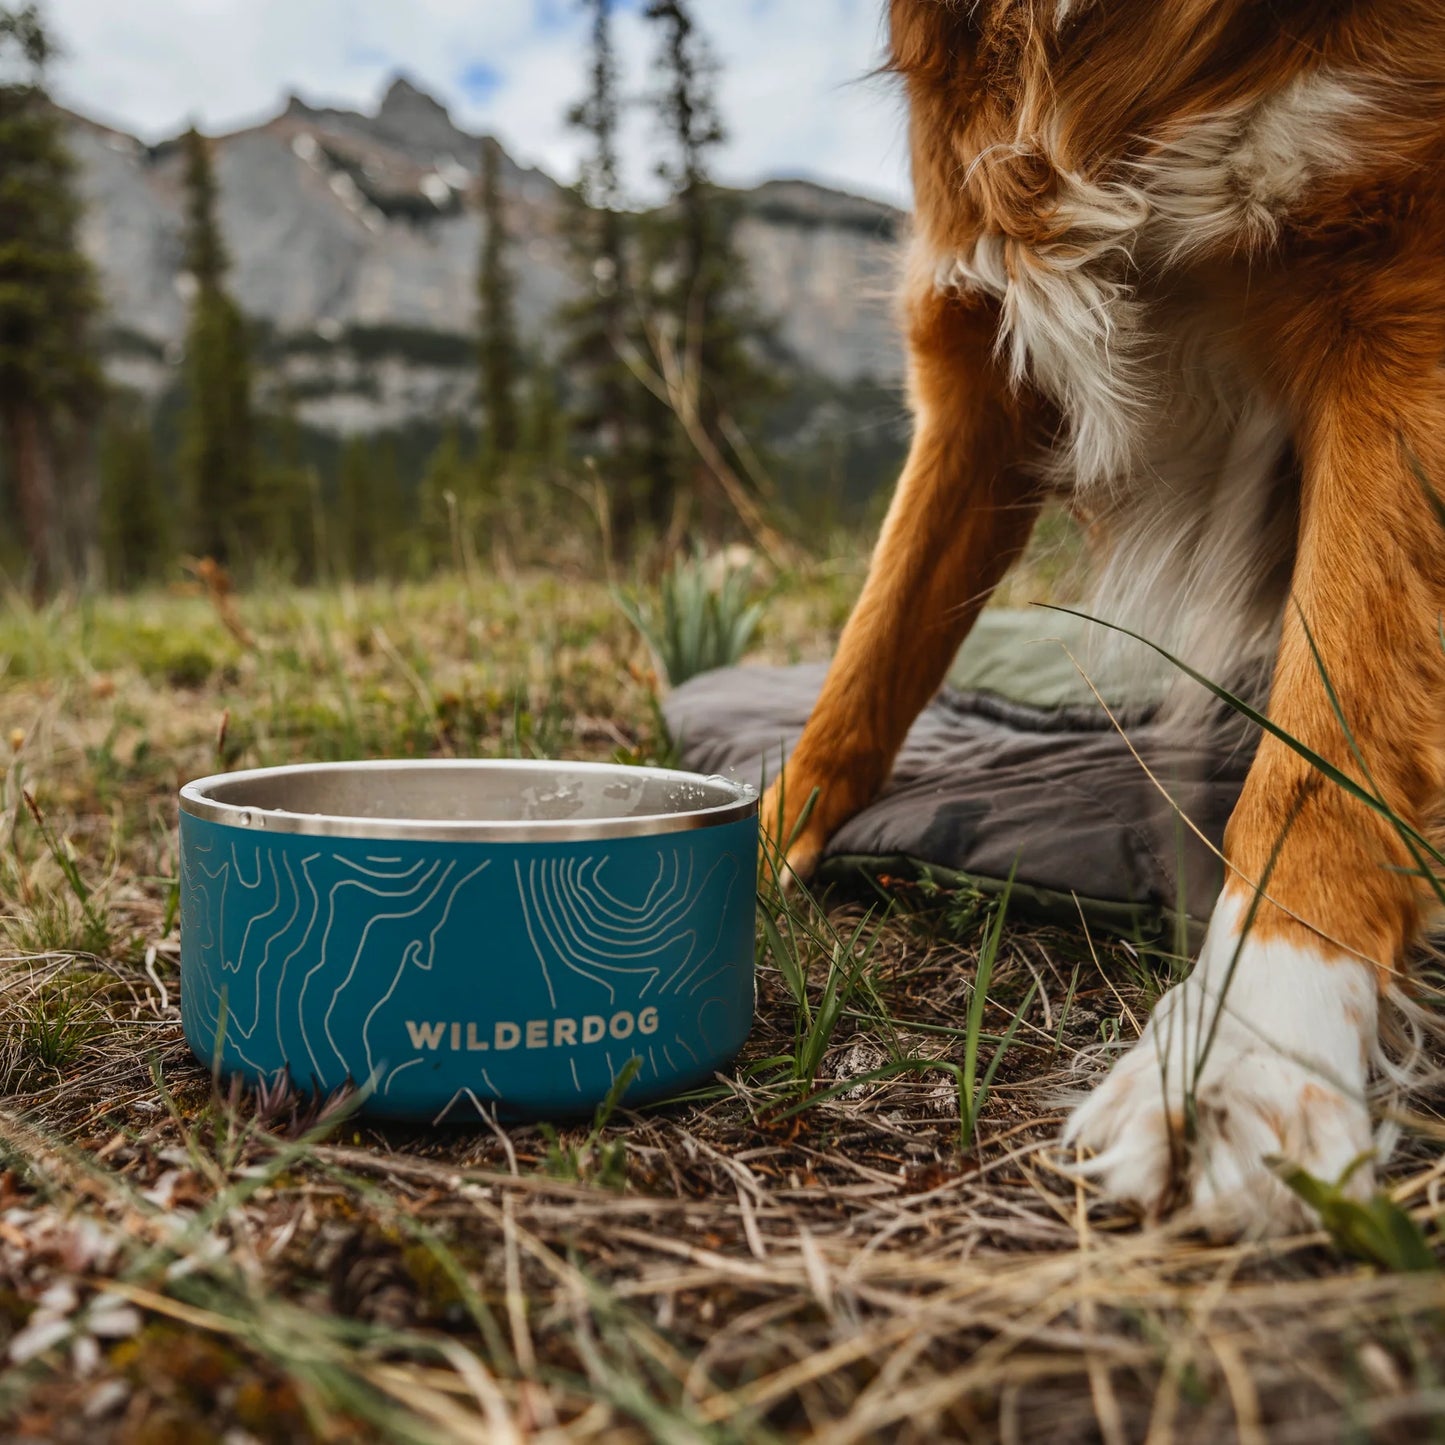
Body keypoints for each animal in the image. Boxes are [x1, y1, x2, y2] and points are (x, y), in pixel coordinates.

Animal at [757, 0, 1445, 1236]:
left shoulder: (1398, 297)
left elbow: (1329, 736)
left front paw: (1247, 1044)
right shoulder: (972, 347)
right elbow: (870, 654)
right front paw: (742, 852)